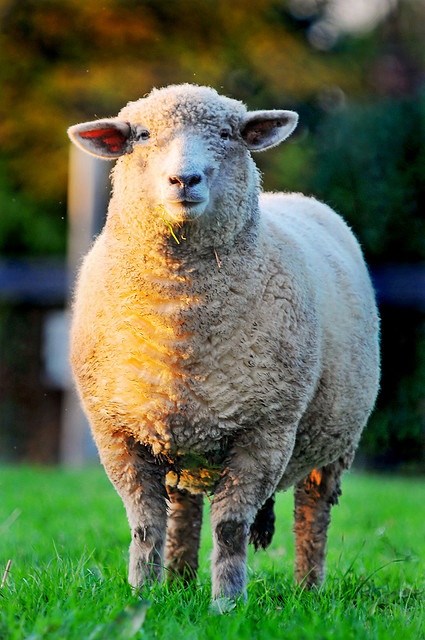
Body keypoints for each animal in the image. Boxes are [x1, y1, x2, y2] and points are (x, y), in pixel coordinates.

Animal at [68, 84, 380, 600]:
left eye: (226, 135)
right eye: (142, 135)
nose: (184, 179)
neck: (179, 327)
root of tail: (293, 196)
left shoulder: (265, 429)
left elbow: (231, 527)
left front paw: (227, 603)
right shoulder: (118, 432)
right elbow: (145, 527)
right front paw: (141, 596)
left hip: (334, 443)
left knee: (312, 516)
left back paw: (307, 591)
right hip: (179, 435)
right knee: (183, 513)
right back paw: (177, 583)